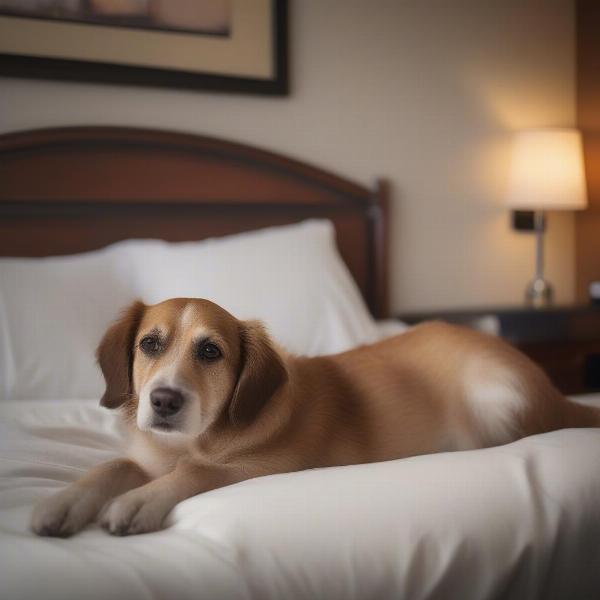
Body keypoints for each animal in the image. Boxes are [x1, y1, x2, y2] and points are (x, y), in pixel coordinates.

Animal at [31, 298, 600, 536]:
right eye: (149, 344)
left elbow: (195, 472)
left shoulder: (265, 466)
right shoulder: (148, 457)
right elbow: (113, 467)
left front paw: (139, 502)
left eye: (211, 352)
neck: (195, 437)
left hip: (499, 395)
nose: (165, 401)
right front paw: (65, 501)